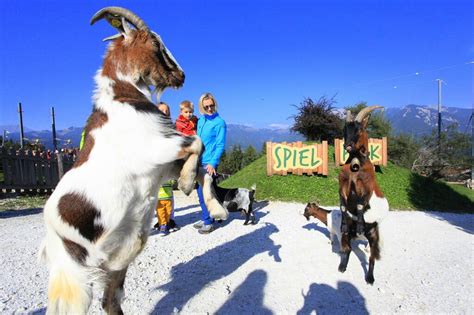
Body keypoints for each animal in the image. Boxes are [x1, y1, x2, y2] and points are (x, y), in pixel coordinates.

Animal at [37, 6, 224, 314]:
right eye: (154, 42)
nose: (181, 75)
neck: (123, 97)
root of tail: (51, 237)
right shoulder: (155, 150)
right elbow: (197, 143)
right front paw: (186, 183)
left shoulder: (163, 166)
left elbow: (203, 170)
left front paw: (217, 209)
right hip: (76, 274)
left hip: (115, 264)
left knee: (110, 301)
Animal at [338, 106, 390, 286]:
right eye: (344, 129)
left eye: (359, 129)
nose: (347, 146)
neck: (356, 165)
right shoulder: (343, 184)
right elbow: (343, 204)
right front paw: (343, 221)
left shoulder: (366, 188)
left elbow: (361, 204)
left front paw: (360, 222)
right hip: (348, 235)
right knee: (347, 249)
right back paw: (342, 266)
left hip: (374, 235)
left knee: (372, 257)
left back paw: (370, 278)